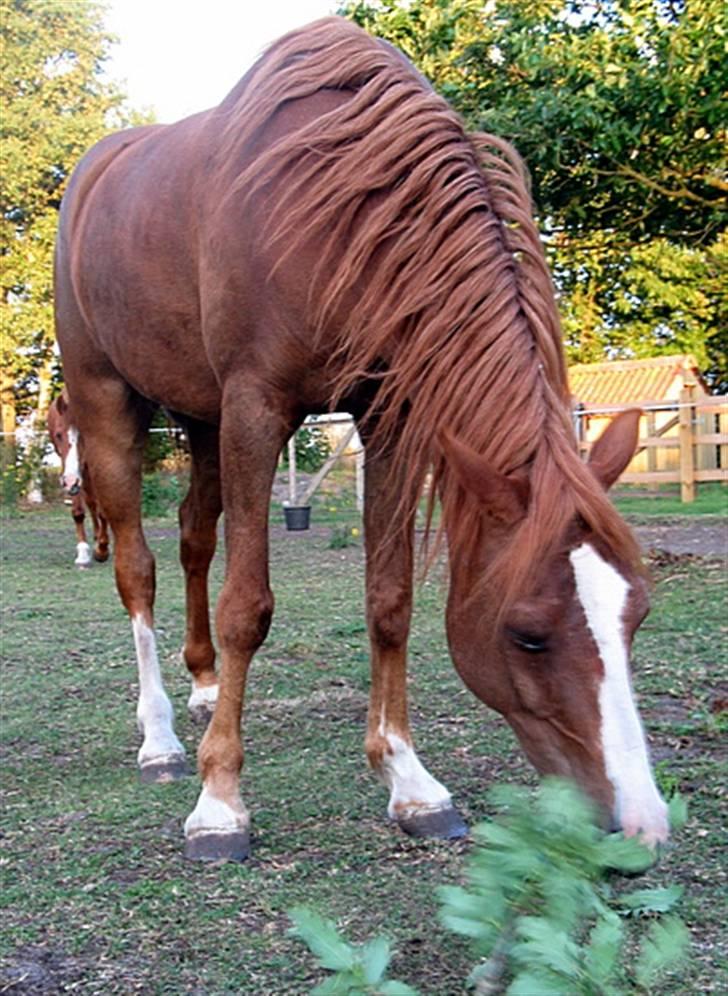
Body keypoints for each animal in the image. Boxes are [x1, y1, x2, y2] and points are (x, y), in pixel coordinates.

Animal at [46, 390, 109, 568]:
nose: (71, 482)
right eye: (59, 435)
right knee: (91, 502)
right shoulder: (69, 469)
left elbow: (103, 511)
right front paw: (83, 553)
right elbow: (79, 511)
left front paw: (102, 551)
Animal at [54, 15, 668, 860]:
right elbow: (249, 606)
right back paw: (162, 738)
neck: (340, 208)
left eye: (636, 616)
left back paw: (205, 684)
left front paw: (410, 781)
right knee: (137, 568)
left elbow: (390, 599)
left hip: (200, 417)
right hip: (109, 404)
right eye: (528, 635)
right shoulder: (256, 407)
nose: (641, 830)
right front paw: (220, 803)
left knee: (192, 538)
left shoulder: (385, 416)